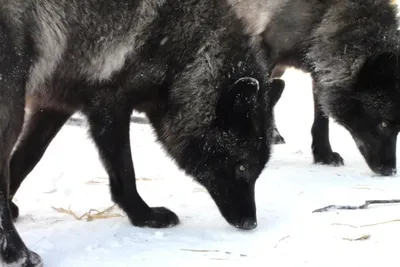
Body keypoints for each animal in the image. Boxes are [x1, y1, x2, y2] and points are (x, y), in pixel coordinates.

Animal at [0, 0, 284, 266]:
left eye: (257, 169)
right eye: (242, 166)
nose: (250, 223)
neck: (186, 48)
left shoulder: (54, 106)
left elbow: (27, 158)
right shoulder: (110, 105)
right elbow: (125, 172)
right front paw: (144, 216)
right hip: (13, 106)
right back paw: (18, 253)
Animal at [230, 0, 400, 177]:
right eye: (384, 124)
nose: (391, 170)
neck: (325, 15)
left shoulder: (318, 67)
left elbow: (321, 118)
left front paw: (324, 155)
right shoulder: (264, 52)